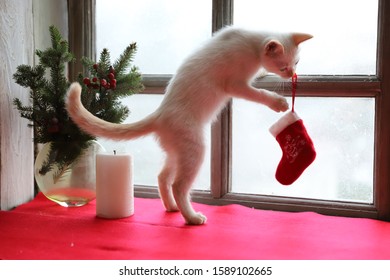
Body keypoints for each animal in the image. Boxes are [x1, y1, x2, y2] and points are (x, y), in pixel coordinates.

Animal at [66, 26, 310, 225]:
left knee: (163, 177)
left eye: (296, 63)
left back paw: (172, 207)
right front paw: (278, 102)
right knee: (178, 185)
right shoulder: (235, 84)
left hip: (178, 152)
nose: (292, 73)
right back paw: (191, 217)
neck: (249, 41)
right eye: (283, 66)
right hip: (195, 149)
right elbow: (258, 94)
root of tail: (160, 114)